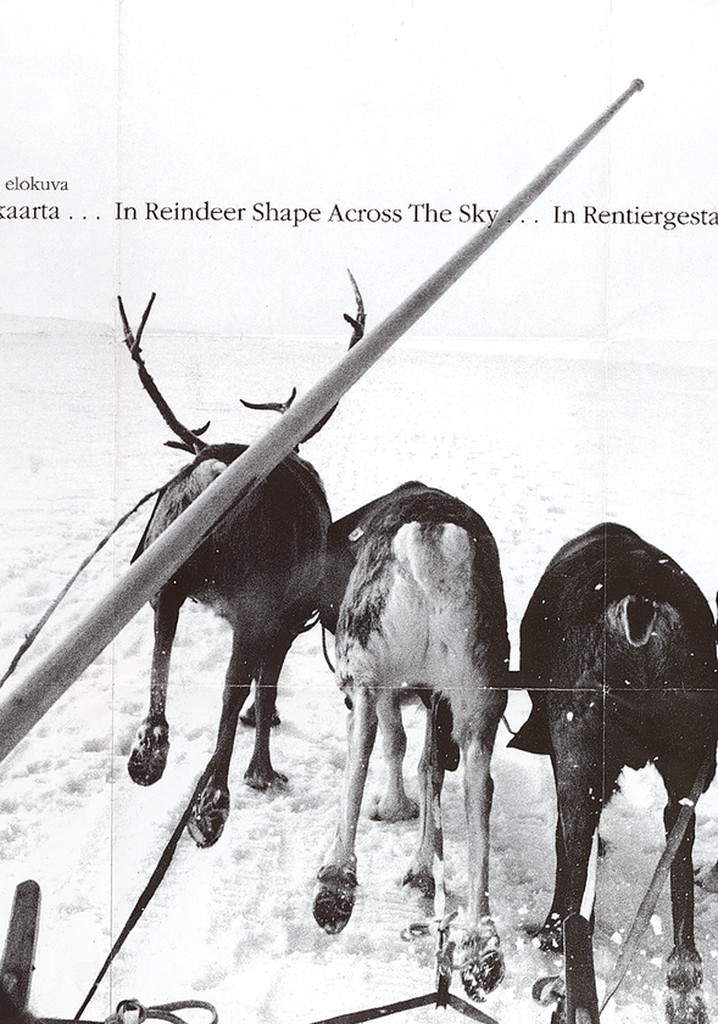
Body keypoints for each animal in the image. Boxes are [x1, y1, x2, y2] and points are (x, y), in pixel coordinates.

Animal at [120, 280, 364, 849]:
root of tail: (213, 466)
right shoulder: (284, 620)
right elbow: (265, 680)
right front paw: (262, 763)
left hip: (168, 578)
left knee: (162, 652)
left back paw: (151, 753)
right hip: (253, 607)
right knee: (228, 689)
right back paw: (214, 800)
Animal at [312, 481, 510, 1004]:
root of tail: (432, 547)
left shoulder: (389, 690)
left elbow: (397, 746)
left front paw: (395, 808)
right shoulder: (439, 702)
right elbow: (431, 771)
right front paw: (424, 865)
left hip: (365, 670)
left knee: (359, 759)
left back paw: (335, 883)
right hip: (478, 701)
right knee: (479, 795)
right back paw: (481, 944)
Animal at [509, 522, 718, 1024]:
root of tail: (638, 608)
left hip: (580, 762)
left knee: (574, 881)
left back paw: (560, 962)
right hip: (688, 770)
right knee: (678, 855)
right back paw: (684, 987)